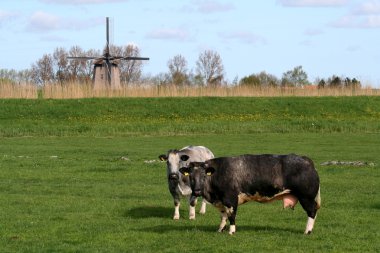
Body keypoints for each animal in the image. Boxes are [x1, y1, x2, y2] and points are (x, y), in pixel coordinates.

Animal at [180, 154, 320, 235]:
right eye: (190, 176)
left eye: (204, 176)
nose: (197, 191)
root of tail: (307, 160)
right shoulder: (221, 201)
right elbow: (223, 216)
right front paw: (220, 229)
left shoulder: (230, 199)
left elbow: (231, 216)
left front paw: (231, 231)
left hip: (306, 197)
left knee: (312, 212)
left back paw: (307, 231)